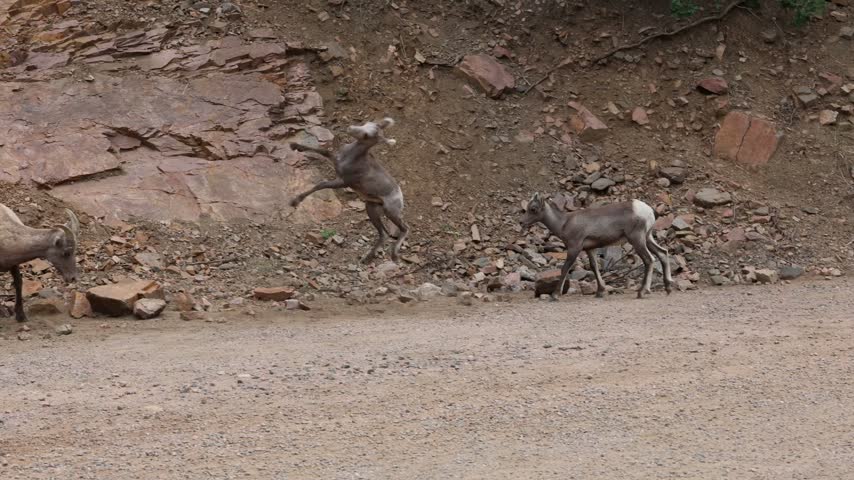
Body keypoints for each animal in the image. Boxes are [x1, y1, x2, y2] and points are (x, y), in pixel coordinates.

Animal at [289, 117, 409, 263]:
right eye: (366, 123)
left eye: (367, 135)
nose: (350, 128)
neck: (350, 157)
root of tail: (400, 196)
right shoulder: (334, 158)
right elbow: (321, 151)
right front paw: (294, 146)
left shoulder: (342, 182)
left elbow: (321, 185)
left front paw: (295, 201)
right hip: (371, 208)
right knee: (384, 234)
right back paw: (367, 259)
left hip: (390, 212)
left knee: (404, 228)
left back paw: (394, 255)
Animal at [520, 193, 672, 300]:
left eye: (533, 209)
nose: (522, 222)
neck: (564, 223)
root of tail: (648, 211)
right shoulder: (590, 249)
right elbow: (594, 267)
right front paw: (600, 292)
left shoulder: (574, 248)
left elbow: (565, 269)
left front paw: (555, 295)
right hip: (647, 238)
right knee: (662, 253)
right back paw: (668, 288)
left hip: (637, 239)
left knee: (649, 259)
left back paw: (642, 292)